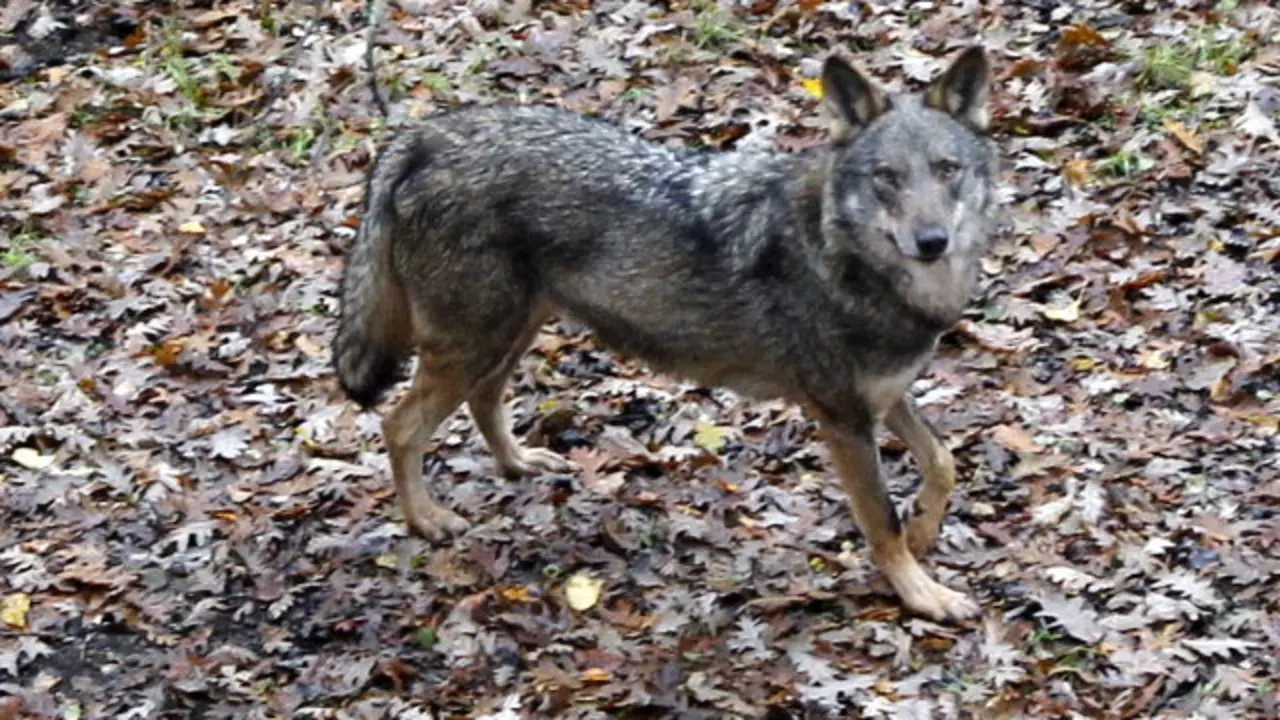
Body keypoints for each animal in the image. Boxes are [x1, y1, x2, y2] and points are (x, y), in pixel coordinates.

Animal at [332, 46, 1000, 623]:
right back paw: (426, 521)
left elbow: (943, 462)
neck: (846, 259)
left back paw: (520, 462)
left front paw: (925, 530)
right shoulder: (843, 418)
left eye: (947, 171)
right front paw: (922, 593)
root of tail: (421, 136)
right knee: (400, 426)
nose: (932, 241)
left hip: (511, 334)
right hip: (475, 344)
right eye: (887, 178)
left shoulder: (885, 396)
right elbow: (881, 520)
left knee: (483, 401)